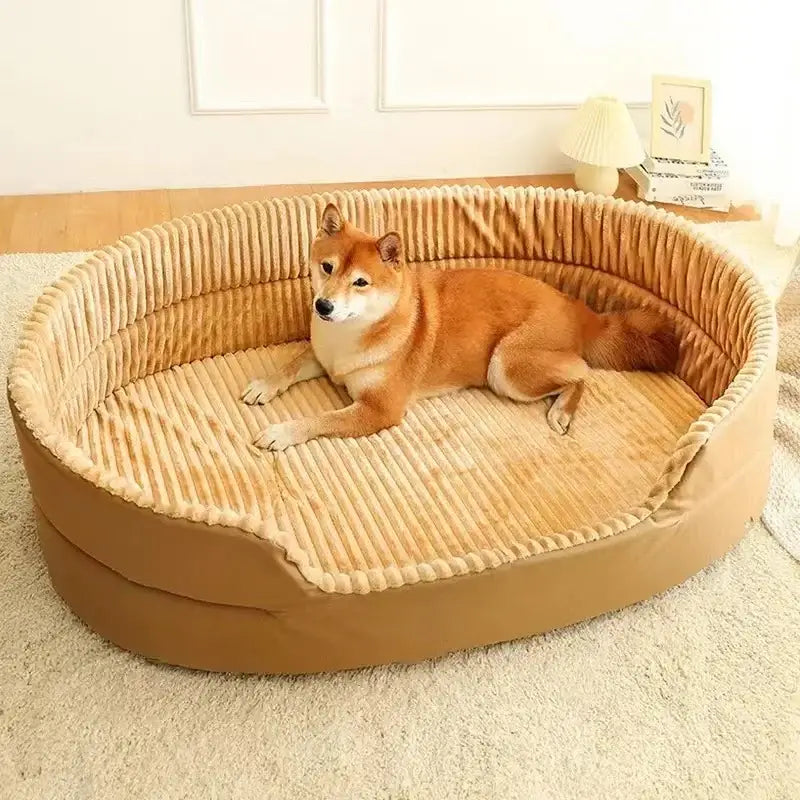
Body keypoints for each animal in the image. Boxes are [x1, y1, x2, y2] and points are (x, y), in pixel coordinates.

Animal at [241, 203, 680, 450]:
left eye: (360, 283)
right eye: (327, 267)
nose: (324, 305)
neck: (350, 336)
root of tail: (577, 309)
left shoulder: (379, 410)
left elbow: (321, 420)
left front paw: (282, 431)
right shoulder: (323, 356)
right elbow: (290, 365)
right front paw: (264, 384)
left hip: (506, 365)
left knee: (582, 372)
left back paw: (562, 411)